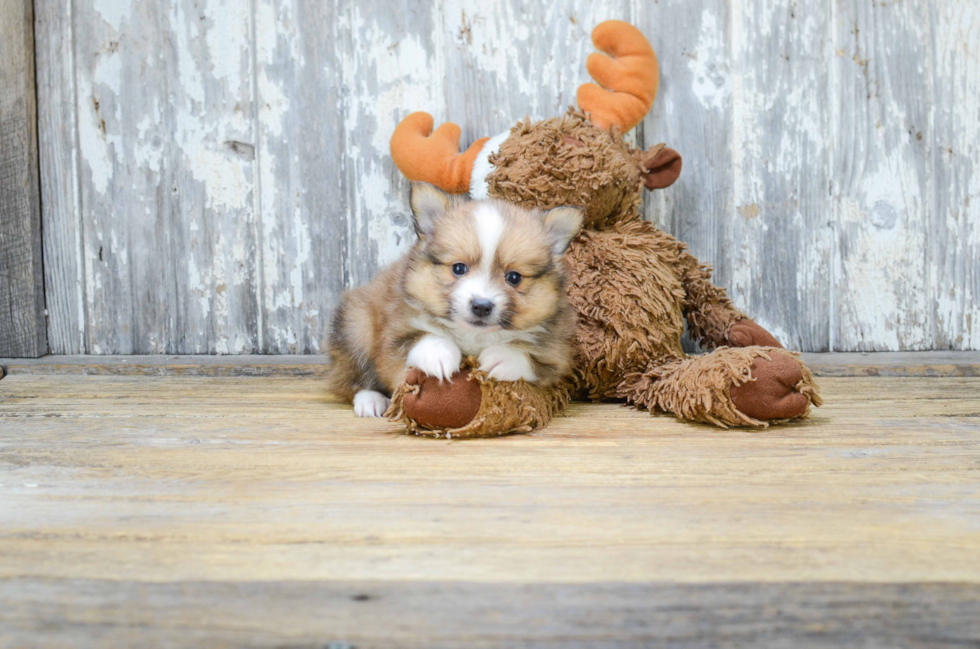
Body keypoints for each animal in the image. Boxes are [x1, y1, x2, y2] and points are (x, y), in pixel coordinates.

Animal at [326, 180, 580, 418]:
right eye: (459, 268)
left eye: (514, 277)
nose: (481, 306)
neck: (474, 336)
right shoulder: (393, 336)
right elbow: (420, 338)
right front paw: (438, 354)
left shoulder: (556, 355)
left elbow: (531, 359)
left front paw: (503, 357)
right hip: (357, 325)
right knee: (352, 378)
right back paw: (371, 401)